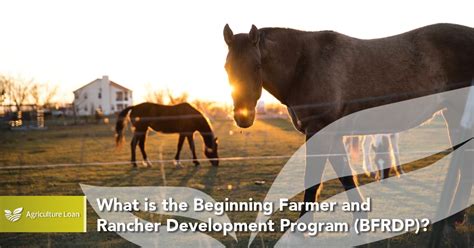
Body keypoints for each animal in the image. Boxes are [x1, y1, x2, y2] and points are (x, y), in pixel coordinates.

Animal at [223, 23, 474, 232]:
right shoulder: (332, 135)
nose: (243, 117)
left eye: (257, 66)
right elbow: (346, 177)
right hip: (454, 118)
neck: (304, 65)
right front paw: (361, 218)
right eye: (227, 67)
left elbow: (312, 181)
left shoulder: (319, 132)